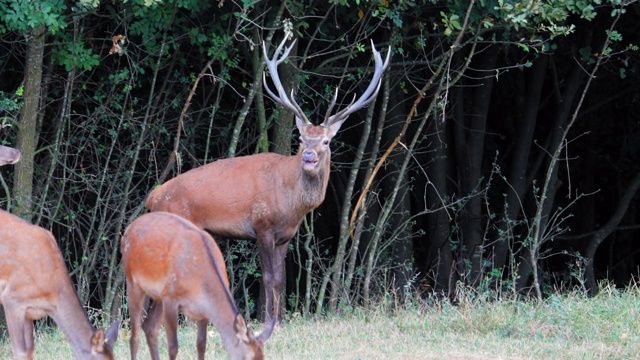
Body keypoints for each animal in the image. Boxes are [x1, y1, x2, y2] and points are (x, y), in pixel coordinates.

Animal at [121, 211, 276, 360]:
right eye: (248, 357)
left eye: (264, 358)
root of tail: (127, 230)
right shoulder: (171, 299)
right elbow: (173, 347)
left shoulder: (202, 311)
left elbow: (201, 344)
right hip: (133, 282)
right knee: (134, 337)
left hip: (160, 295)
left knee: (149, 326)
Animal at [146, 36, 392, 320]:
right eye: (301, 138)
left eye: (326, 141)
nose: (308, 156)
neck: (292, 204)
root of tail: (152, 197)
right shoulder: (262, 225)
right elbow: (268, 278)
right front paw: (269, 320)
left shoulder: (286, 235)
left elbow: (281, 280)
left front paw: (280, 318)